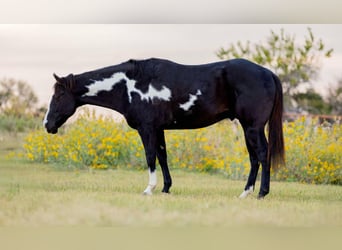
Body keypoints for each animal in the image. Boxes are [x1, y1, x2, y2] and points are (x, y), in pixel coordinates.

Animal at [44, 58, 284, 199]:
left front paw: (148, 189)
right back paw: (245, 193)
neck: (130, 85)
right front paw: (166, 188)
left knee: (262, 154)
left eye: (60, 95)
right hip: (247, 128)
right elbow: (162, 156)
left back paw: (262, 193)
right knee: (254, 158)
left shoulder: (147, 128)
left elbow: (150, 157)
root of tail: (268, 73)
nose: (47, 125)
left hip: (253, 127)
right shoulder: (158, 129)